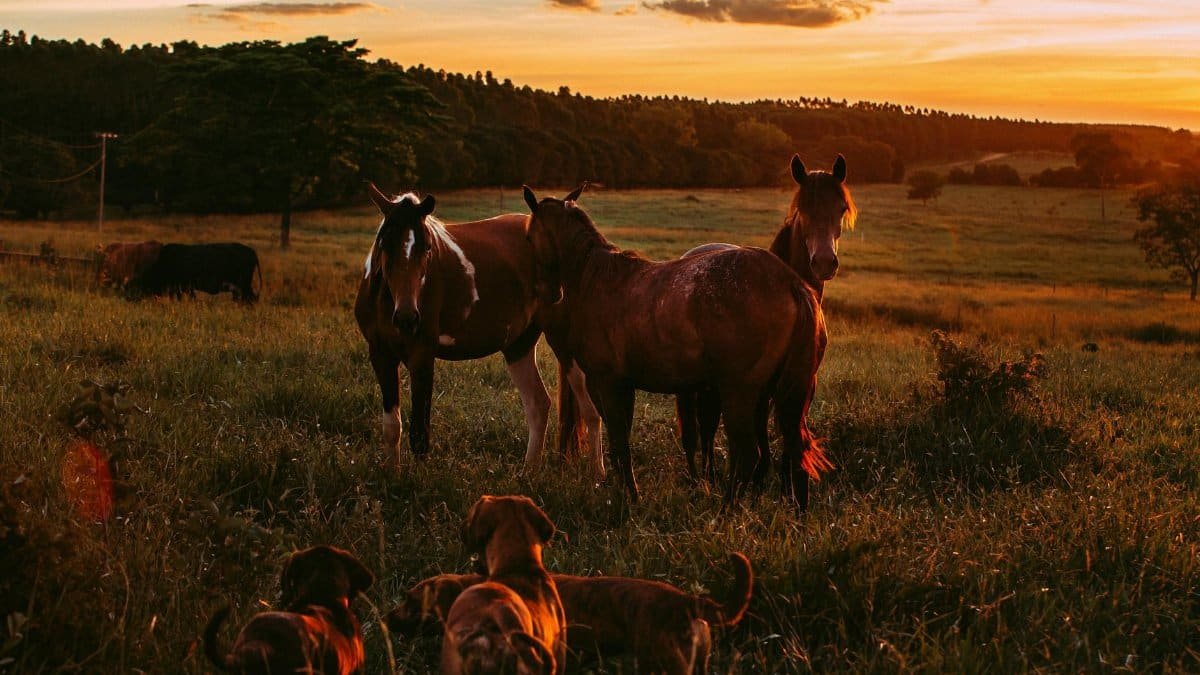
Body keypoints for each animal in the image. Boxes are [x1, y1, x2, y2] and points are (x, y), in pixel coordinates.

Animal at [355, 185, 588, 473]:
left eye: (427, 247)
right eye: (385, 243)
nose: (408, 318)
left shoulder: (422, 356)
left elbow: (419, 432)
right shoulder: (381, 355)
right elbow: (391, 427)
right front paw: (392, 475)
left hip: (566, 347)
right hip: (518, 345)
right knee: (538, 404)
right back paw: (529, 472)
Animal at [522, 186, 828, 508]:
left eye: (529, 237)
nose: (548, 294)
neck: (596, 278)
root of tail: (791, 282)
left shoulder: (608, 383)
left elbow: (619, 443)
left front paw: (630, 497)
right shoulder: (624, 385)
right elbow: (621, 442)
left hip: (741, 392)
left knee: (747, 456)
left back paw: (725, 510)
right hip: (779, 394)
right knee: (794, 451)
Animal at [676, 155, 855, 498]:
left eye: (841, 208)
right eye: (803, 208)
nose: (824, 262)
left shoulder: (803, 383)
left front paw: (785, 485)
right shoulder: (759, 389)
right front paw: (758, 482)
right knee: (699, 431)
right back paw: (703, 479)